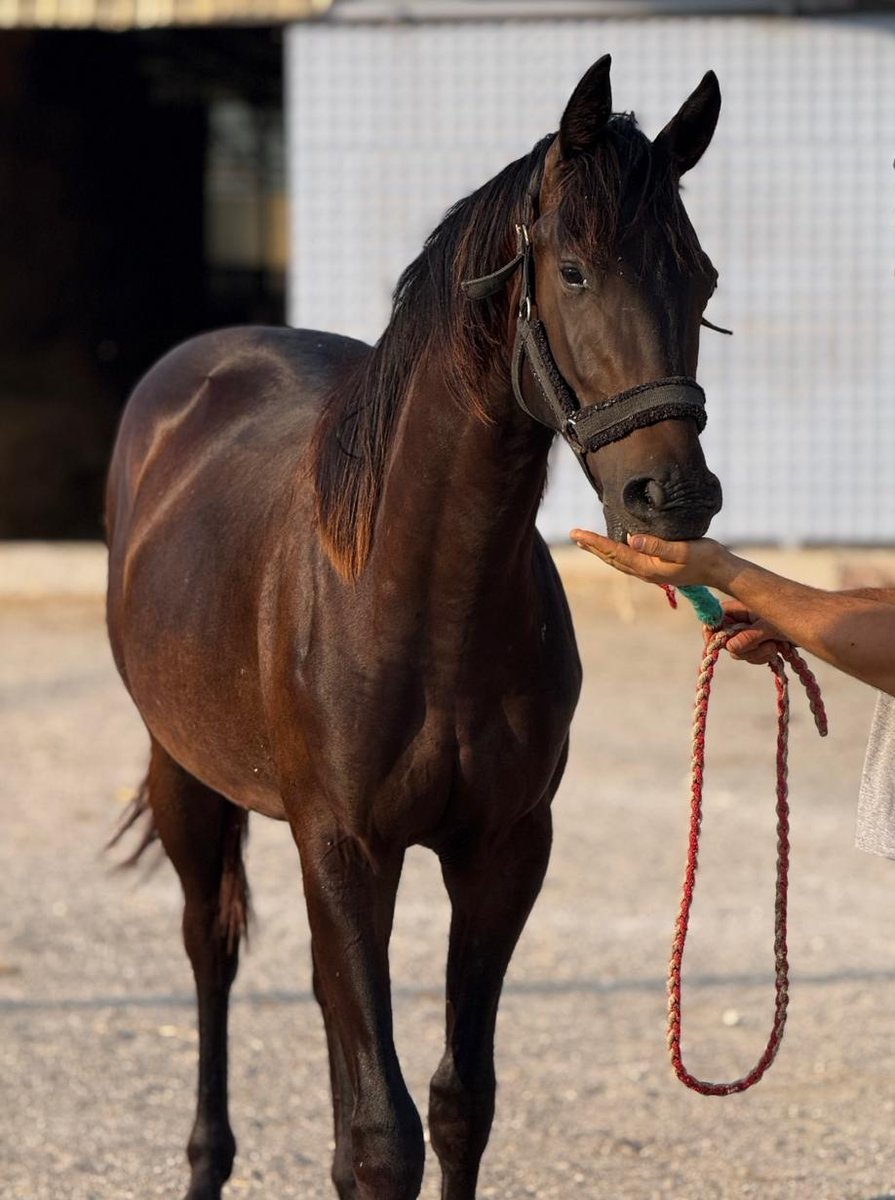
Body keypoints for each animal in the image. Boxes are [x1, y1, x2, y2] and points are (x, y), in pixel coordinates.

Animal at [105, 55, 724, 1200]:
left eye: (700, 281)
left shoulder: (504, 851)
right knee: (209, 951)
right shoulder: (345, 849)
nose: (673, 495)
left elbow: (457, 1102)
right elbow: (377, 1137)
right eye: (573, 271)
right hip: (187, 782)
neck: (425, 603)